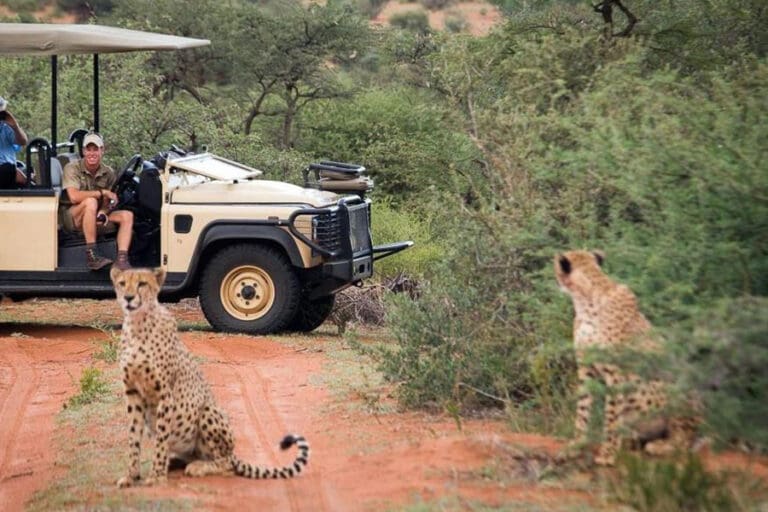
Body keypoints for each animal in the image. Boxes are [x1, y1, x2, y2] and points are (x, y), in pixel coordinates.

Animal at [110, 266, 310, 487]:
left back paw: (197, 467)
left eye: (142, 284)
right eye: (122, 283)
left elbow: (161, 440)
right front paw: (131, 476)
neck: (137, 323)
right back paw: (174, 463)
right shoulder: (133, 393)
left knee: (225, 464)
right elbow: (133, 437)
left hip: (208, 412)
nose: (128, 298)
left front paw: (156, 476)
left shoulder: (165, 395)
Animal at [554, 250, 698, 466]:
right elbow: (582, 410)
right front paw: (575, 446)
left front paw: (607, 453)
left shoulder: (616, 372)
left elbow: (612, 415)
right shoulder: (586, 368)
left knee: (684, 440)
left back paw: (660, 445)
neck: (585, 301)